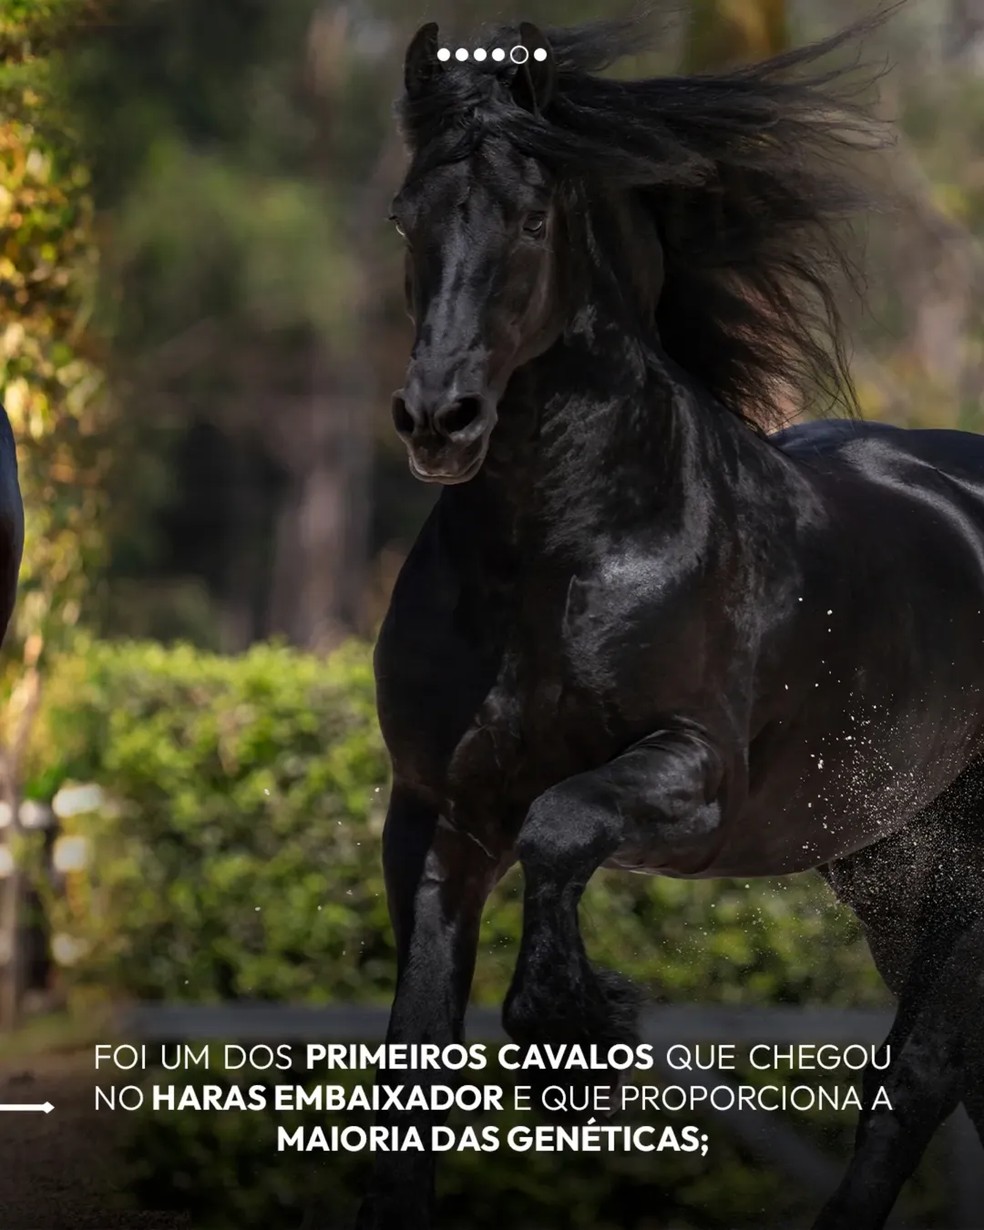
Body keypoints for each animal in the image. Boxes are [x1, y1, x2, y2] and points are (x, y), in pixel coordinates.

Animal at [361, 15, 984, 1230]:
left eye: (534, 218)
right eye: (407, 216)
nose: (439, 420)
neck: (559, 559)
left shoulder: (698, 781)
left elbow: (558, 825)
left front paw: (576, 1018)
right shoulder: (438, 817)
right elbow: (413, 1065)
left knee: (919, 1081)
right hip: (895, 872)